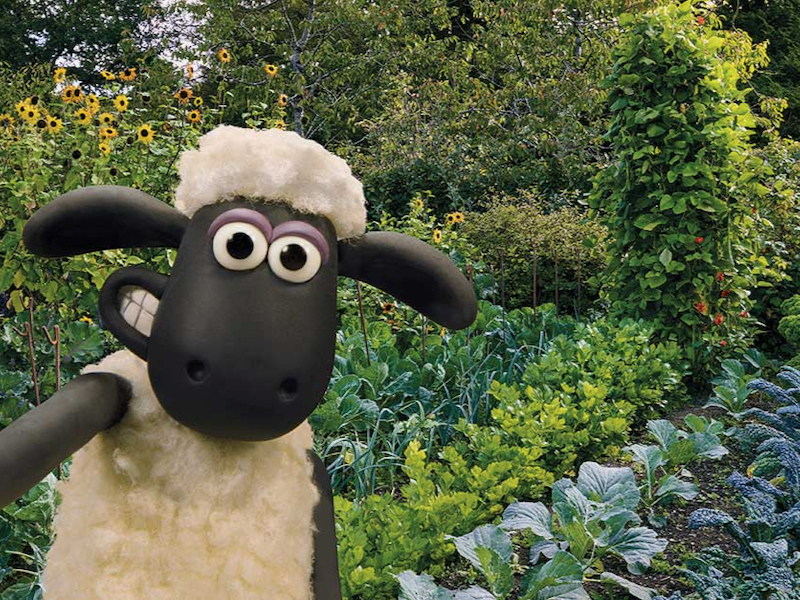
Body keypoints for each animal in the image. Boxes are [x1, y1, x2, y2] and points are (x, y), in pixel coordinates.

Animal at [0, 124, 478, 596]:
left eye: (295, 257)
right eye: (239, 244)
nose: (243, 380)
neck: (214, 446)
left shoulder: (315, 478)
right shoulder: (112, 386)